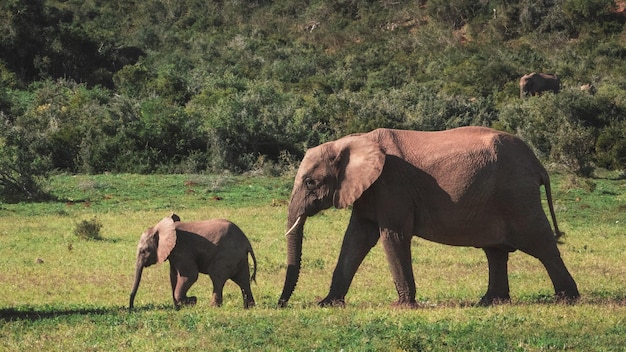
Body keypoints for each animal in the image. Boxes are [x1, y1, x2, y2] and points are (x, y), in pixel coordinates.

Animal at [276, 127, 576, 308]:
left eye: (311, 183)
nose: (281, 305)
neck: (352, 141)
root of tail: (537, 164)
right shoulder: (369, 190)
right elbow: (355, 240)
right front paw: (327, 304)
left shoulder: (391, 184)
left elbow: (393, 235)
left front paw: (402, 307)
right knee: (495, 250)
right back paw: (489, 302)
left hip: (517, 194)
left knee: (540, 242)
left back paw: (567, 299)